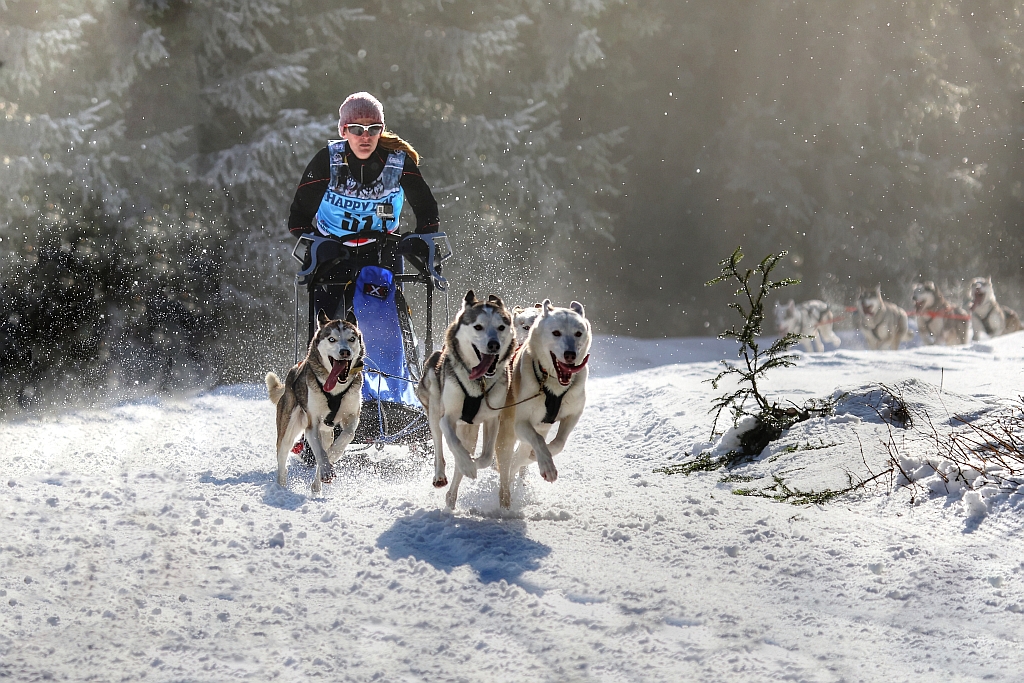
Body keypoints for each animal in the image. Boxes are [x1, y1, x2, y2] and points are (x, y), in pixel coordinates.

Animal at [266, 313, 366, 493]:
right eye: (332, 339)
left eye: (351, 338)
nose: (345, 352)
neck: (335, 389)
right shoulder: (312, 423)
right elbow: (319, 451)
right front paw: (327, 468)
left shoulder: (351, 418)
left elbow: (345, 438)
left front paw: (331, 459)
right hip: (288, 431)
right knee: (282, 461)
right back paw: (281, 488)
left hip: (326, 432)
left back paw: (316, 484)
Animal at [413, 288, 516, 507]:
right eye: (478, 326)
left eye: (501, 327)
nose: (494, 345)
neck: (479, 383)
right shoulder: (448, 417)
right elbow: (453, 443)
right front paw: (468, 465)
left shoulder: (492, 419)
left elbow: (486, 456)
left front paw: (473, 464)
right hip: (434, 412)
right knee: (440, 447)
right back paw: (440, 475)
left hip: (470, 430)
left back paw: (452, 496)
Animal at [495, 299, 593, 507]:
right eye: (556, 332)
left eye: (578, 333)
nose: (570, 354)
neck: (554, 383)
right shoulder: (521, 423)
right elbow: (538, 442)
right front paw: (547, 466)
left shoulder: (573, 414)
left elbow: (559, 442)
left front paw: (538, 456)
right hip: (506, 434)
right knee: (505, 469)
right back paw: (504, 501)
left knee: (519, 458)